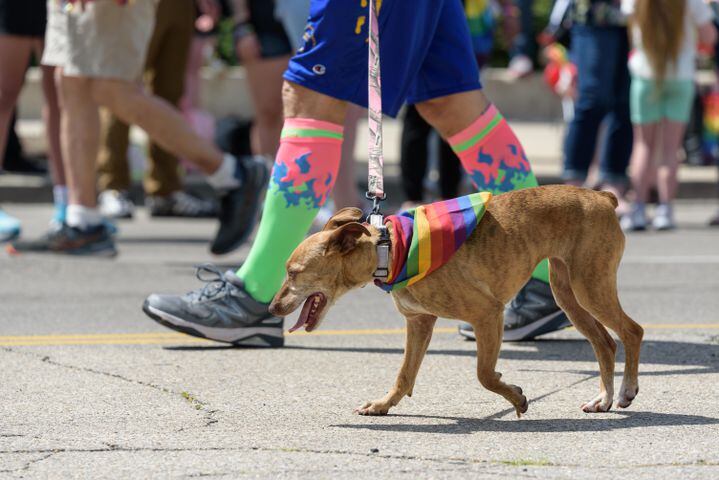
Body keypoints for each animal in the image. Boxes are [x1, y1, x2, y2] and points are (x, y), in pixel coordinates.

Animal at [268, 186, 644, 418]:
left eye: (293, 272)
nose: (272, 308)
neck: (391, 249)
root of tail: (603, 197)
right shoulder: (420, 322)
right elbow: (405, 375)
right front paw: (383, 405)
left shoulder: (488, 314)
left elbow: (484, 374)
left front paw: (516, 398)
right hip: (569, 295)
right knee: (605, 344)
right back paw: (604, 400)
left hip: (589, 287)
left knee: (632, 332)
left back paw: (626, 391)